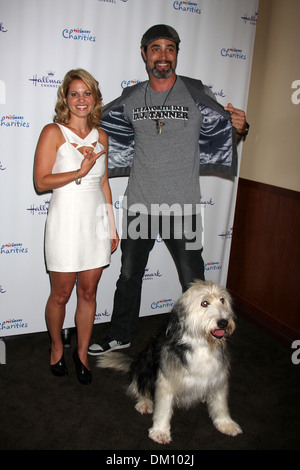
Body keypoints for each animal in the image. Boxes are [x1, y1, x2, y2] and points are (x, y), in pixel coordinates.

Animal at [97, 280, 243, 446]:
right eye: (204, 303)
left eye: (222, 300)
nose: (223, 322)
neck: (202, 344)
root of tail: (134, 364)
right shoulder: (166, 381)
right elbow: (163, 409)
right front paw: (160, 431)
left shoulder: (219, 377)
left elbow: (220, 404)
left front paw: (226, 423)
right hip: (144, 368)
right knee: (138, 387)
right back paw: (145, 402)